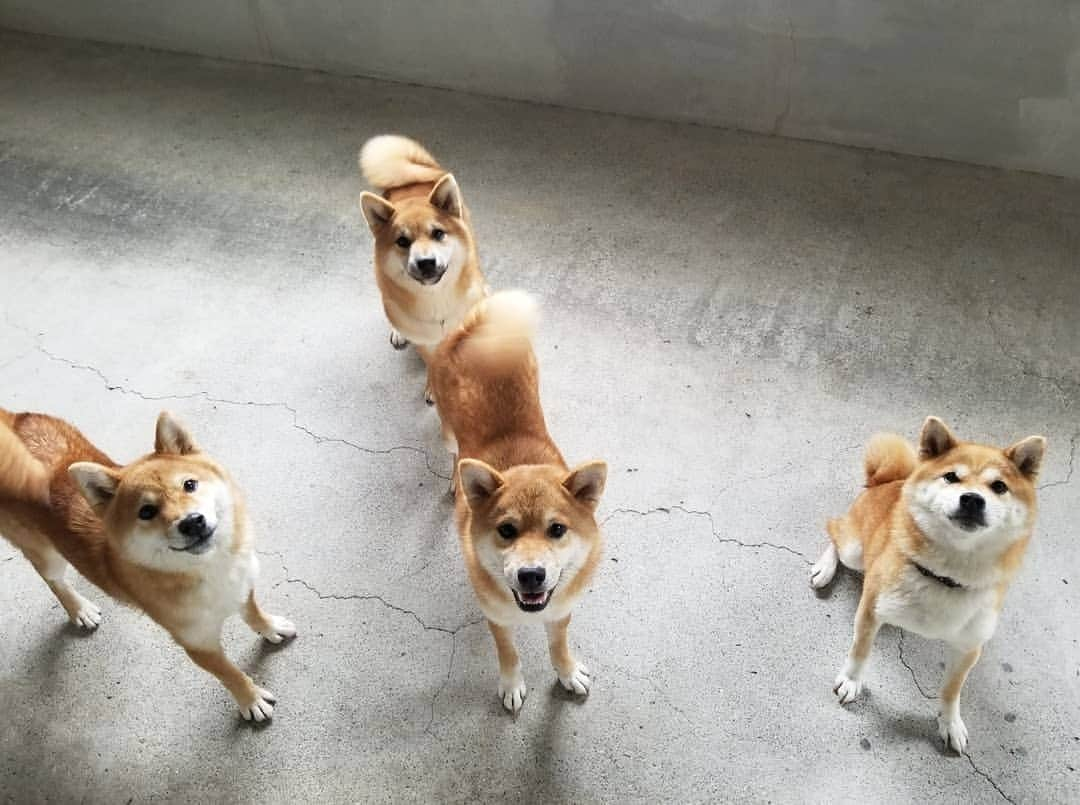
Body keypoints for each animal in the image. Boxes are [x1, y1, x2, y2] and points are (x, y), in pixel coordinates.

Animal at [0, 408, 295, 721]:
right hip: (46, 554)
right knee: (53, 580)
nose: (192, 522)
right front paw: (250, 699)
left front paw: (270, 627)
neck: (209, 570)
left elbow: (253, 613)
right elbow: (230, 674)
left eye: (189, 484)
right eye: (146, 512)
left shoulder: (242, 586)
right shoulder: (198, 643)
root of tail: (11, 418)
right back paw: (79, 609)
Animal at [358, 135, 486, 399]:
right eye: (402, 241)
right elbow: (433, 363)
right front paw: (435, 388)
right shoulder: (425, 342)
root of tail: (409, 180)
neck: (436, 300)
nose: (426, 262)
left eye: (438, 233)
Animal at [427, 291, 609, 713]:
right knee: (453, 455)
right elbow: (508, 654)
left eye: (557, 529)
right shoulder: (497, 618)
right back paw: (453, 482)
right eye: (506, 530)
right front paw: (511, 685)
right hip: (447, 432)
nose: (531, 575)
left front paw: (566, 672)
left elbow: (559, 646)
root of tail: (471, 329)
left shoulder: (560, 611)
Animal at [812, 417, 1041, 752]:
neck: (947, 577)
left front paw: (950, 723)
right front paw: (852, 681)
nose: (972, 499)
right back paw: (824, 569)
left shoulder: (968, 647)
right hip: (854, 549)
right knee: (834, 531)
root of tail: (886, 481)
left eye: (999, 487)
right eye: (951, 477)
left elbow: (952, 690)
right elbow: (859, 651)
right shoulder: (871, 610)